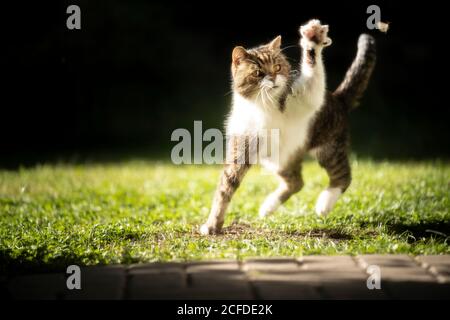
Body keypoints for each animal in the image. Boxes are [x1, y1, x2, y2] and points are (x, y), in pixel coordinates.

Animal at [200, 20, 376, 235]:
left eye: (277, 66)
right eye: (258, 73)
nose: (274, 78)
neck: (265, 106)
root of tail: (338, 99)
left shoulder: (306, 99)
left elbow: (313, 79)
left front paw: (312, 39)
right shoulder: (243, 145)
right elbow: (225, 187)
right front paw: (212, 225)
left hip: (328, 147)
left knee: (343, 176)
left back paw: (324, 204)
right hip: (278, 158)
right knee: (297, 181)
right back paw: (268, 206)